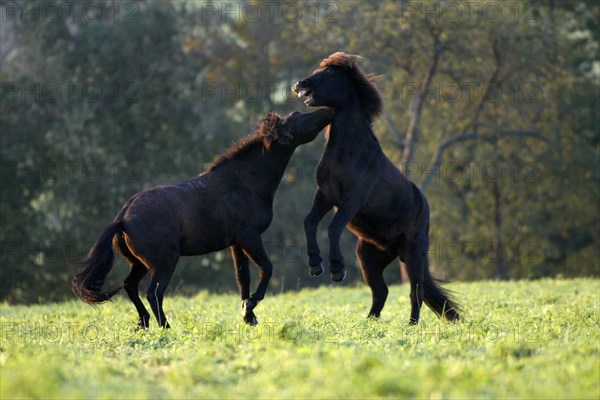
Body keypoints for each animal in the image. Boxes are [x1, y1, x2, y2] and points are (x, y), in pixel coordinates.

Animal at [71, 108, 332, 326]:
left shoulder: (237, 243)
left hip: (140, 263)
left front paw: (248, 315)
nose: (326, 111)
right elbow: (266, 268)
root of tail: (123, 218)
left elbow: (243, 277)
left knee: (131, 286)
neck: (242, 183)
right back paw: (165, 327)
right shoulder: (249, 237)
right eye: (297, 117)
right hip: (164, 262)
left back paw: (143, 323)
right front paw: (251, 305)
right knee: (153, 292)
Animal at [292, 52, 462, 324]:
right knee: (381, 291)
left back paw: (411, 326)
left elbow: (333, 228)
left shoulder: (351, 201)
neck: (349, 152)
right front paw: (315, 265)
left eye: (329, 73)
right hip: (370, 257)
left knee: (416, 292)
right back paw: (369, 323)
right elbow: (310, 222)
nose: (299, 84)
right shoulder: (325, 196)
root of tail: (423, 203)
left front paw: (337, 270)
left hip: (413, 253)